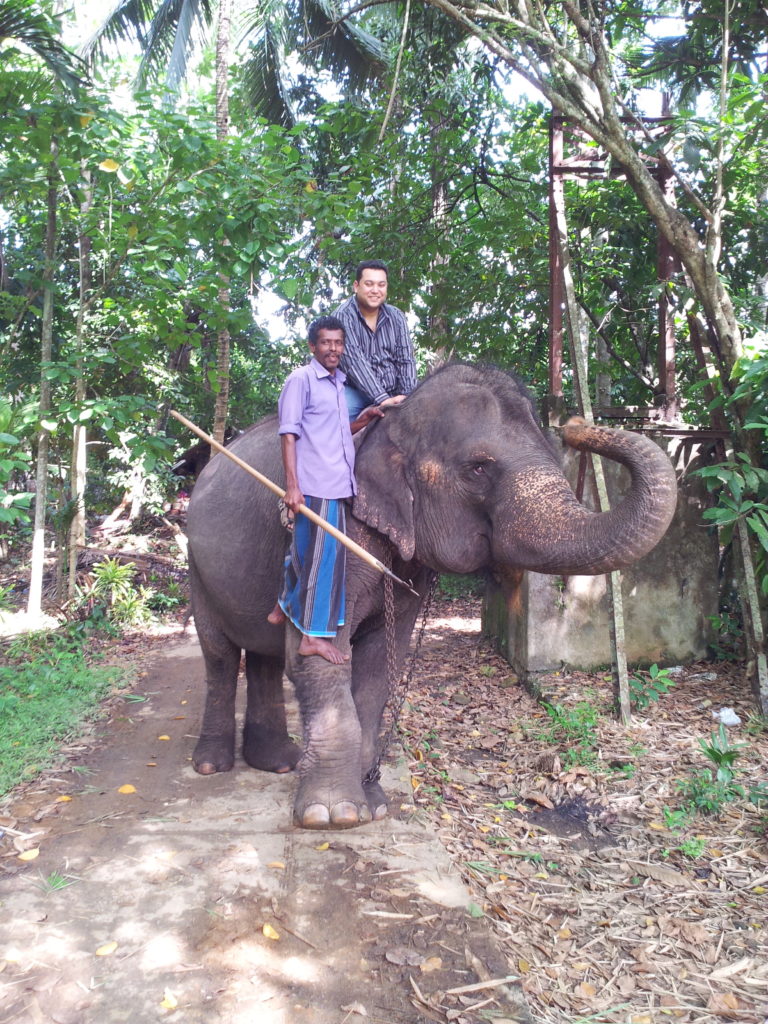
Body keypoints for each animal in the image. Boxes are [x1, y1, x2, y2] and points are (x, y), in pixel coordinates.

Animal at [186, 364, 679, 827]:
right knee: (221, 655)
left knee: (263, 655)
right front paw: (333, 816)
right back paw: (212, 766)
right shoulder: (329, 532)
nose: (576, 422)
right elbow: (318, 655)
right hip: (196, 562)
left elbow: (380, 665)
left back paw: (278, 763)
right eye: (478, 468)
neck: (392, 421)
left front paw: (373, 805)